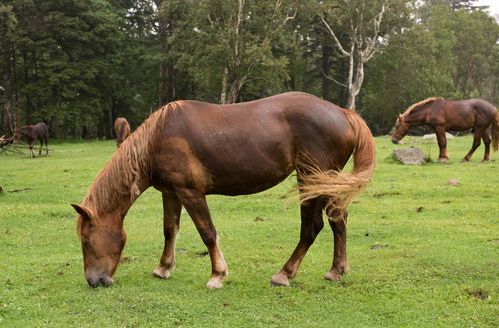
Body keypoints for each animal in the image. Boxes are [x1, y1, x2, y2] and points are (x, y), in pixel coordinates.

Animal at [70, 91, 376, 288]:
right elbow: (170, 230)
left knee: (312, 228)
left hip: (311, 180)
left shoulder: (191, 192)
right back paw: (336, 271)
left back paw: (284, 274)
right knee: (338, 220)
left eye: (85, 240)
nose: (94, 281)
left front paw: (217, 275)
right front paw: (163, 268)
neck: (156, 140)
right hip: (327, 182)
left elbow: (207, 232)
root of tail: (344, 113)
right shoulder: (171, 192)